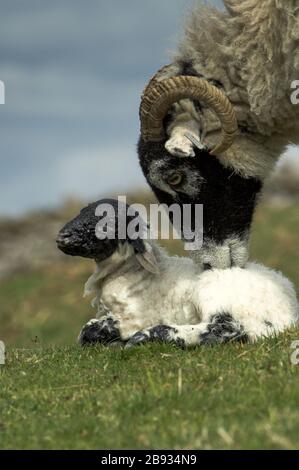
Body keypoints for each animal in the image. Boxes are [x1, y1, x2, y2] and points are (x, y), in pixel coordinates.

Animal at [56, 196, 299, 346]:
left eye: (107, 223)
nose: (62, 237)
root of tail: (288, 314)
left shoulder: (133, 318)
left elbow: (88, 331)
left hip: (216, 294)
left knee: (225, 330)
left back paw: (148, 336)